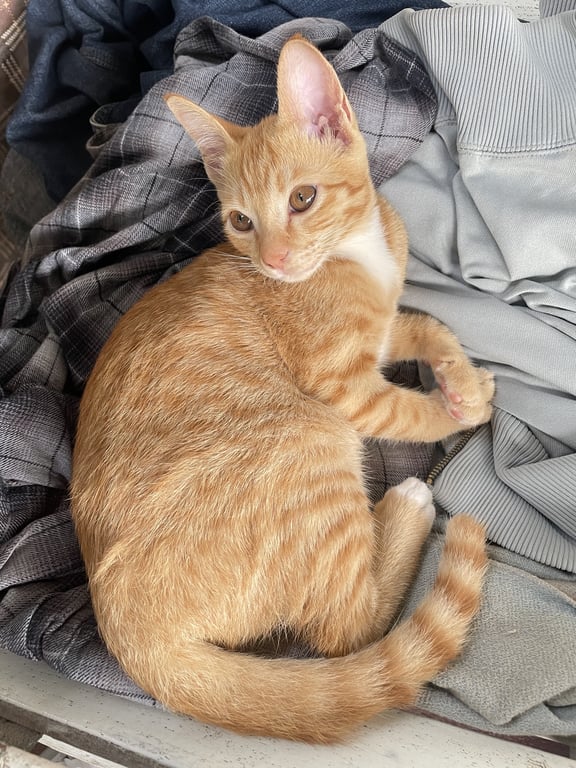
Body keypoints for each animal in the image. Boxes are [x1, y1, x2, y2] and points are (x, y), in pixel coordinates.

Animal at [70, 35, 493, 743]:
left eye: (302, 200)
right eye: (241, 221)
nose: (272, 261)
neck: (357, 252)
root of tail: (127, 638)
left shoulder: (386, 330)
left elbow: (428, 327)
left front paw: (461, 377)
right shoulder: (344, 387)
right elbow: (405, 411)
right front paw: (455, 409)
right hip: (313, 436)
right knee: (345, 631)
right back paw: (407, 505)